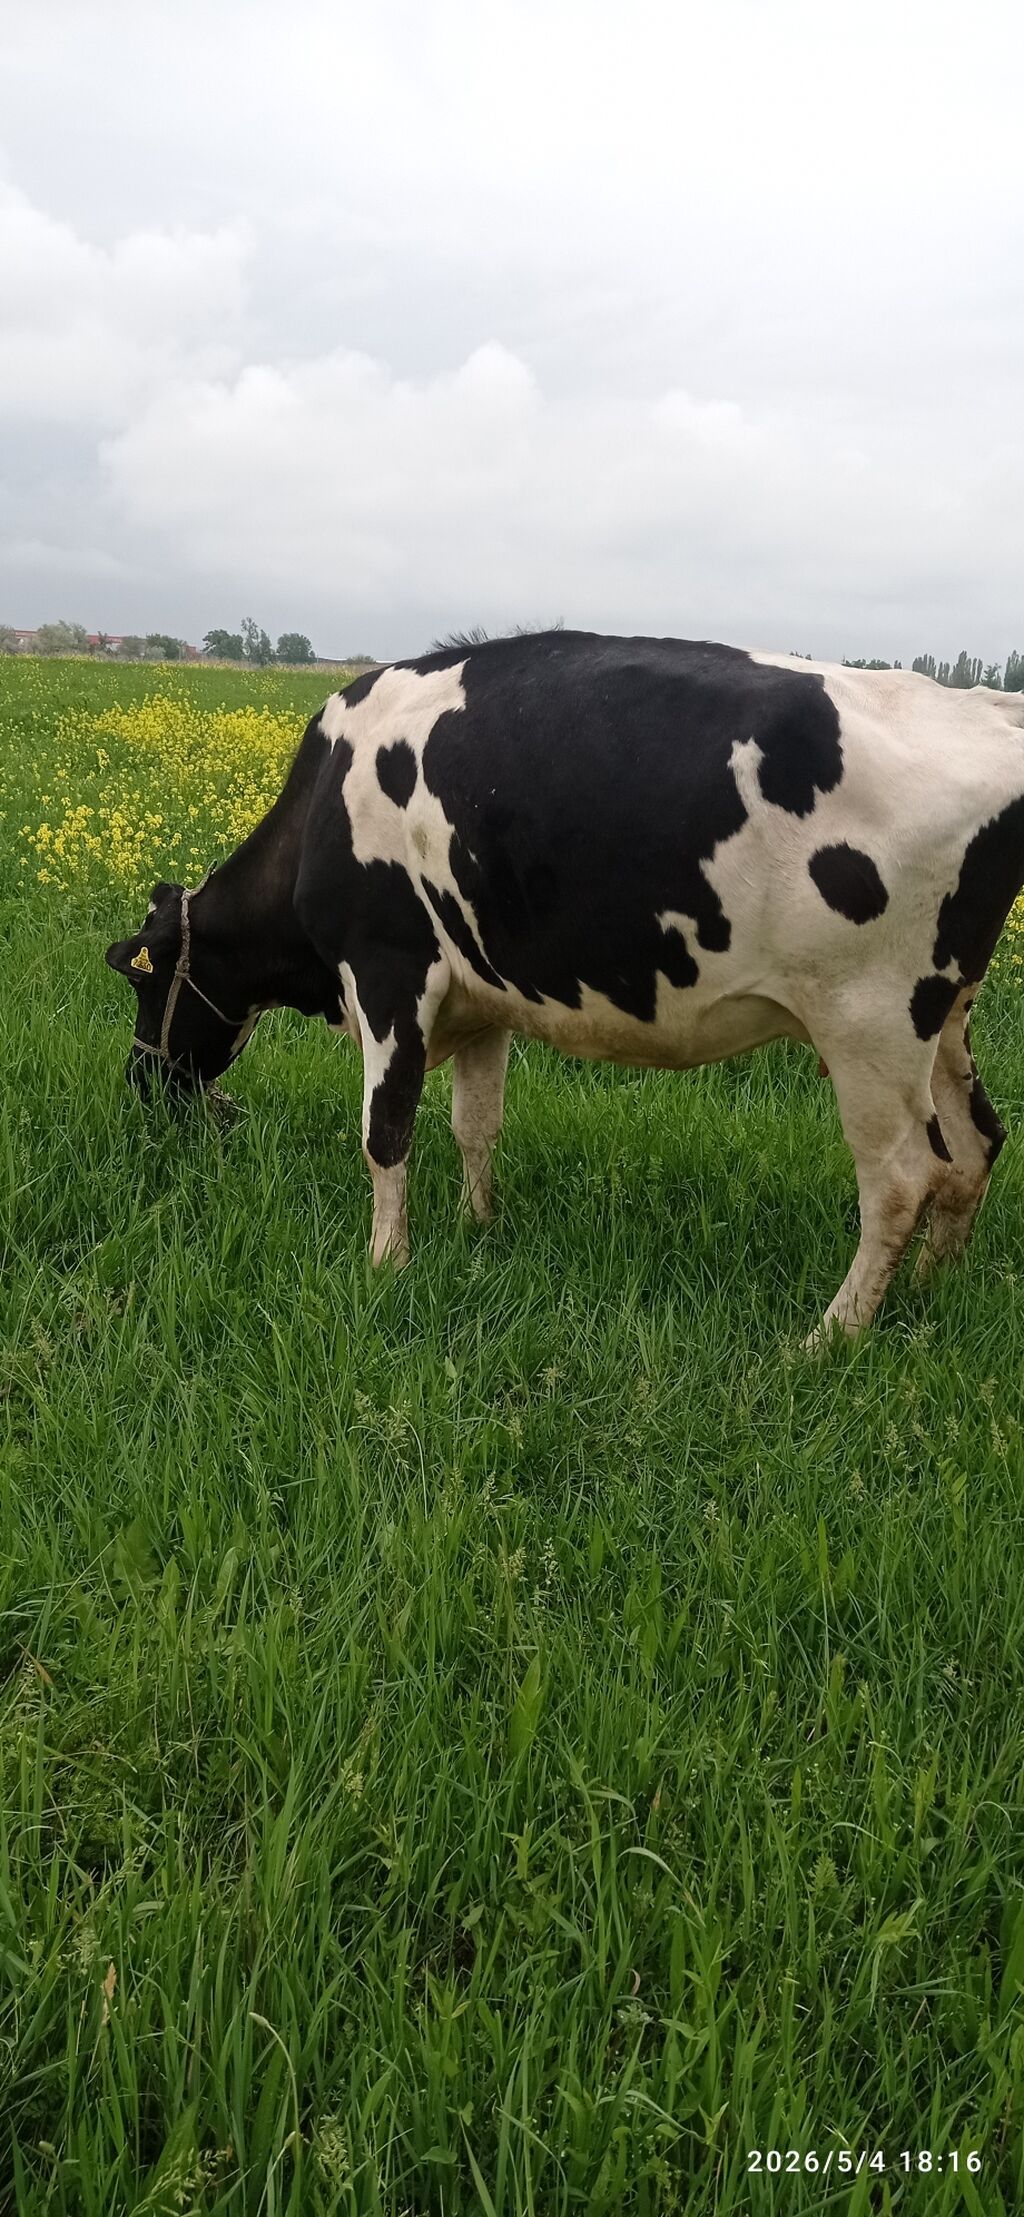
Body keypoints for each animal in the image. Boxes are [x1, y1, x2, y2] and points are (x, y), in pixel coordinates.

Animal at [105, 631, 1024, 1339]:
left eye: (146, 986)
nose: (140, 1077)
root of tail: (984, 708)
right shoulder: (480, 1001)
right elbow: (476, 1125)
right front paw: (478, 1228)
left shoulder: (388, 971)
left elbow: (385, 1131)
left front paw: (385, 1263)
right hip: (944, 1016)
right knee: (975, 1146)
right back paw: (927, 1296)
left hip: (870, 1022)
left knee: (903, 1179)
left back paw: (831, 1335)